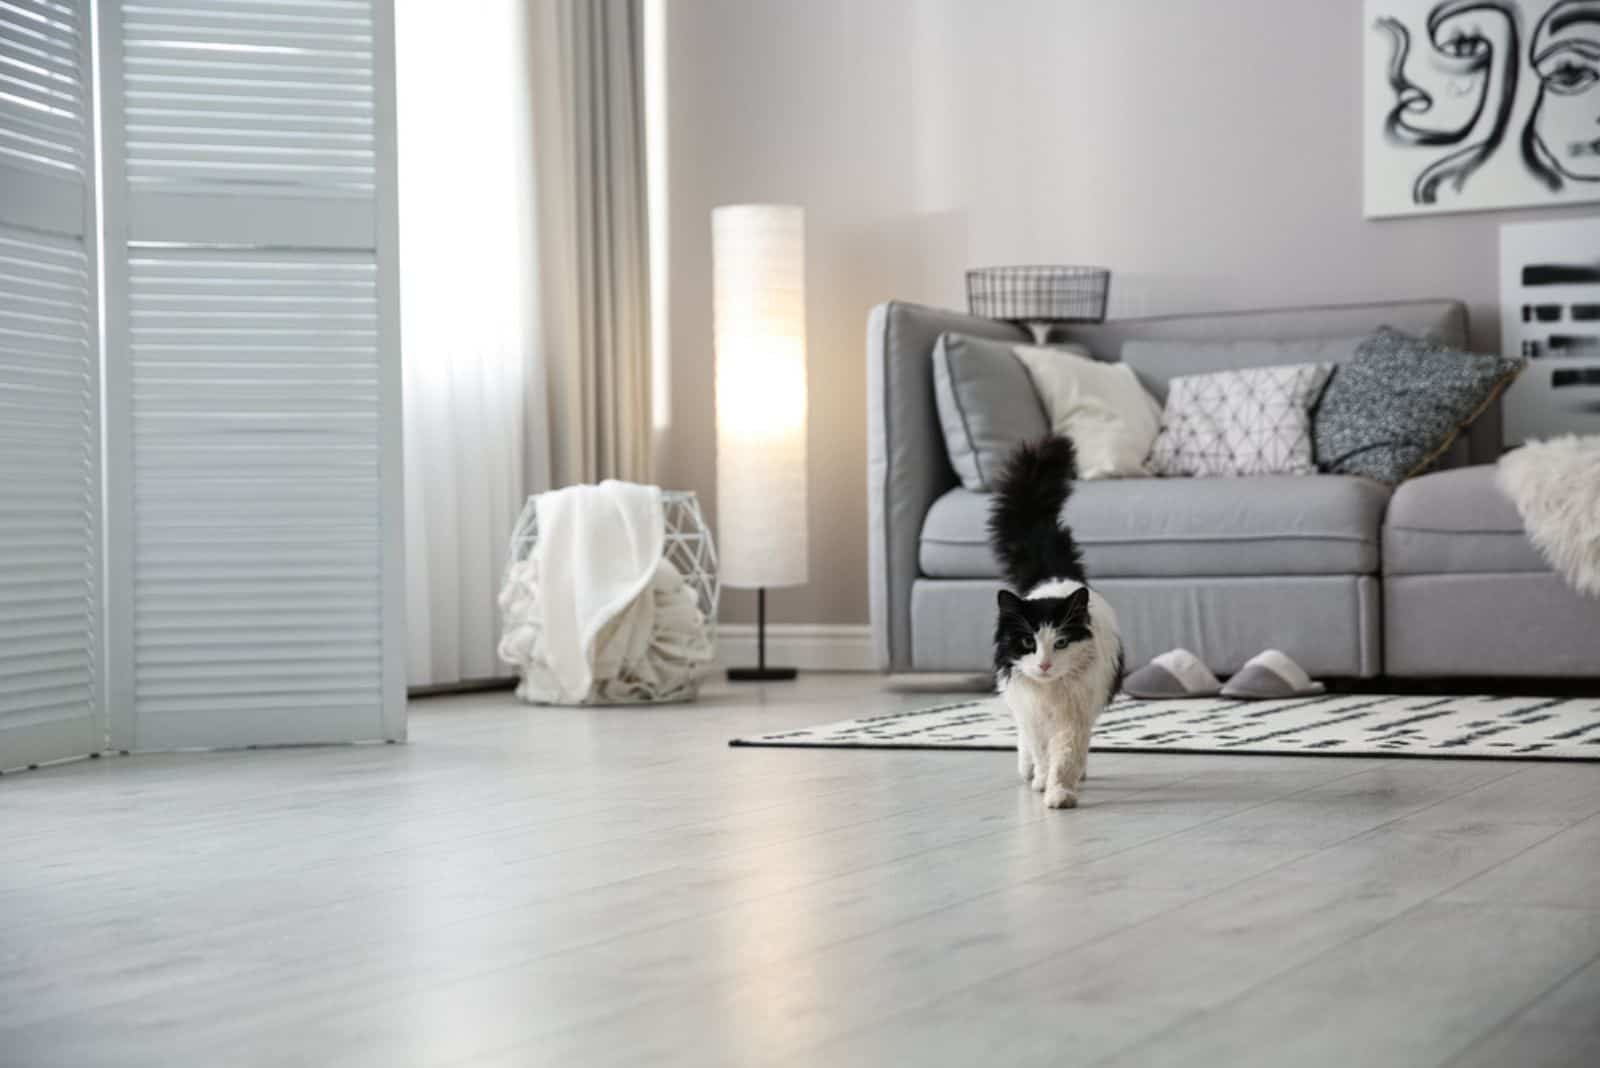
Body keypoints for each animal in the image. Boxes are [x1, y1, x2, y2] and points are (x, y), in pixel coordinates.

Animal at [985, 434, 1126, 808]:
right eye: (1027, 642)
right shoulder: (1033, 713)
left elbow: (1065, 754)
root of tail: (1055, 575)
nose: (1045, 665)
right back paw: (1030, 774)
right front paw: (1043, 781)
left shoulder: (1074, 716)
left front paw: (1060, 794)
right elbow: (1042, 751)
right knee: (1025, 741)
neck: (1050, 693)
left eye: (1061, 643)